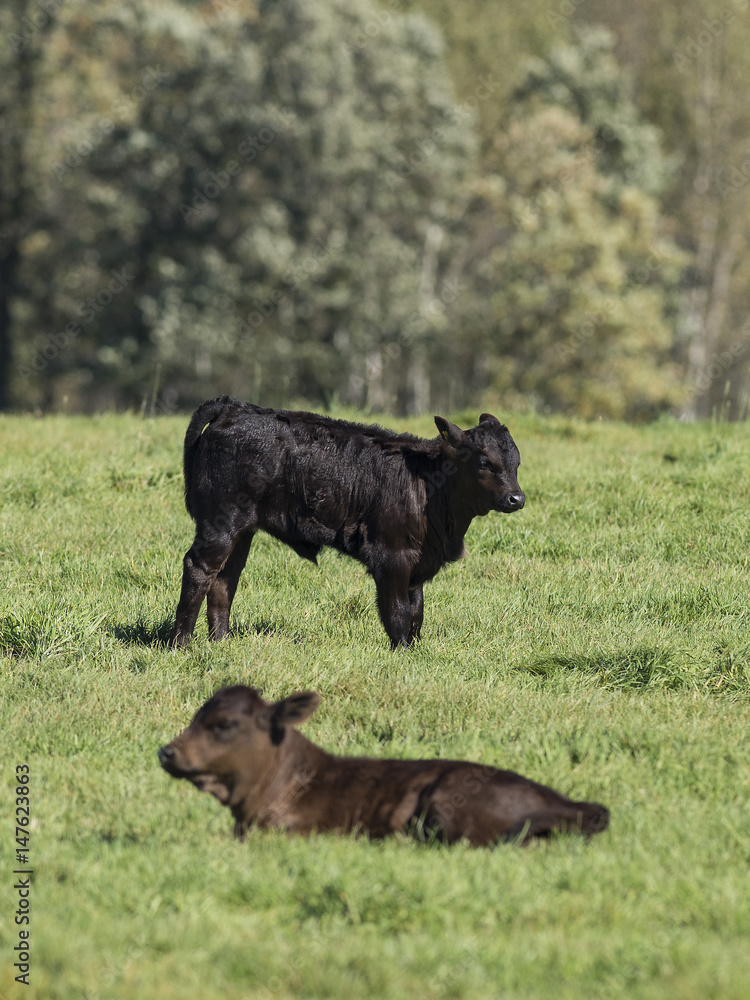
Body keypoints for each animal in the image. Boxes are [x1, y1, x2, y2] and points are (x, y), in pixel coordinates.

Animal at [170, 397, 525, 650]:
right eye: (484, 461)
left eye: (516, 462)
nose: (516, 498)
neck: (429, 487)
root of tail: (234, 408)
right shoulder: (391, 558)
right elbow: (397, 613)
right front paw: (402, 653)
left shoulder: (418, 564)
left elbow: (417, 613)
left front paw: (415, 650)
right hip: (220, 522)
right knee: (200, 569)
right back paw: (181, 645)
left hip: (243, 530)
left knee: (225, 577)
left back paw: (221, 641)